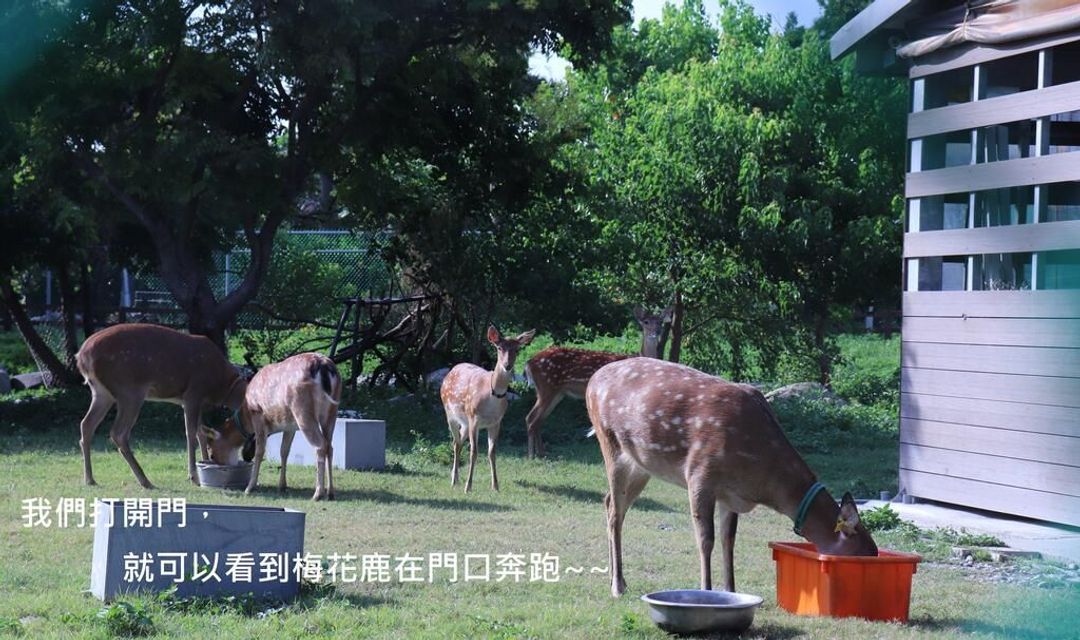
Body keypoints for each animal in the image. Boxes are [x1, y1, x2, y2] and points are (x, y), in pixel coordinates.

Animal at [76, 323, 247, 489]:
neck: (221, 386)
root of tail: (81, 356)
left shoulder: (195, 401)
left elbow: (201, 432)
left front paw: (202, 466)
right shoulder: (193, 393)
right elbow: (191, 432)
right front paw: (194, 476)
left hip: (102, 393)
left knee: (86, 424)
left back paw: (90, 479)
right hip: (129, 390)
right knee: (118, 432)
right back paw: (145, 481)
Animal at [202, 352, 342, 501]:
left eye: (211, 454)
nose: (220, 466)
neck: (246, 414)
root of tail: (325, 367)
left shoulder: (257, 414)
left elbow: (260, 451)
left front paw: (249, 488)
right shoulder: (290, 426)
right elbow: (284, 451)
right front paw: (282, 486)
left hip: (303, 411)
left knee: (320, 446)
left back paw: (317, 494)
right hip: (332, 412)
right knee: (330, 446)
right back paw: (331, 492)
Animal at [441, 326, 536, 492]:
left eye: (517, 349)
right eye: (499, 347)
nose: (507, 365)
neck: (492, 395)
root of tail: (450, 372)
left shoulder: (496, 422)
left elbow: (492, 452)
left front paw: (495, 486)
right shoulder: (474, 418)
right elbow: (474, 452)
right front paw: (468, 487)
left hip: (465, 422)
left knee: (458, 442)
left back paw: (456, 478)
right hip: (450, 413)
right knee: (455, 442)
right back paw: (454, 481)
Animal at [523, 306, 671, 458]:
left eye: (660, 322)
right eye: (646, 322)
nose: (656, 332)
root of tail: (529, 363)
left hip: (556, 392)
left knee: (539, 419)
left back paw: (541, 452)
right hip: (547, 387)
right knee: (531, 418)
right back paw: (531, 455)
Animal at [585, 357, 878, 597]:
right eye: (861, 557)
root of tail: (592, 381)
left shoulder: (731, 495)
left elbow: (729, 540)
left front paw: (731, 591)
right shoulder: (700, 474)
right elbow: (706, 540)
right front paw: (706, 591)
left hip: (641, 466)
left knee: (609, 501)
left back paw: (616, 577)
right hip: (610, 443)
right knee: (615, 513)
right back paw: (617, 586)